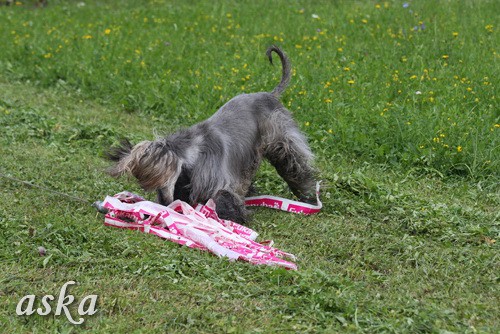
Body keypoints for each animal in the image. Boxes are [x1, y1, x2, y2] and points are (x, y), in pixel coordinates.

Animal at [109, 45, 316, 223]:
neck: (195, 149)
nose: (163, 204)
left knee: (294, 167)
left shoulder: (219, 182)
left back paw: (308, 195)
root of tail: (269, 95)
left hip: (281, 140)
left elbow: (223, 199)